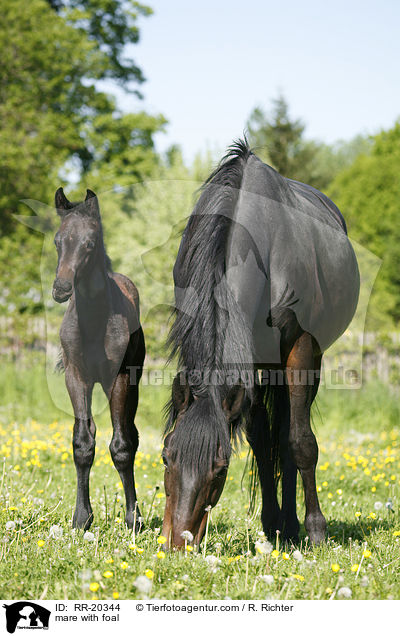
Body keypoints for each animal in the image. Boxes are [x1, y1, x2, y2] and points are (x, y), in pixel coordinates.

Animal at [53, 186, 145, 528]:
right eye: (58, 240)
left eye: (89, 243)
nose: (60, 288)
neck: (94, 321)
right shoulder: (76, 377)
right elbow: (82, 443)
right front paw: (82, 518)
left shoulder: (118, 378)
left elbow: (121, 446)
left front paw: (134, 519)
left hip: (130, 383)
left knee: (130, 433)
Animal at [162, 139, 360, 548]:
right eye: (166, 456)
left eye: (220, 468)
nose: (179, 542)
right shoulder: (248, 359)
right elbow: (260, 439)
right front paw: (270, 524)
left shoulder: (300, 348)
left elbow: (300, 442)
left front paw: (316, 529)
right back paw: (282, 524)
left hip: (307, 362)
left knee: (290, 435)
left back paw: (296, 525)